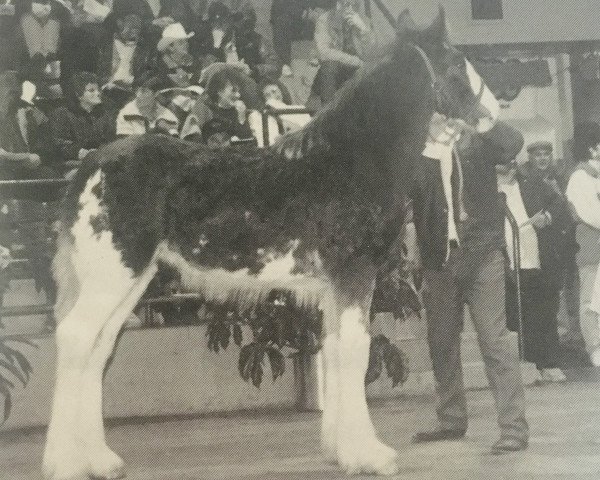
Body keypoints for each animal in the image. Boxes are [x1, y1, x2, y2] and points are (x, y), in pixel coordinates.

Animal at [44, 8, 500, 480]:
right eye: (454, 63)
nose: (490, 114)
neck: (350, 159)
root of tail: (92, 165)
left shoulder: (332, 286)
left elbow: (335, 350)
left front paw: (341, 450)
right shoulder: (355, 273)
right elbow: (356, 351)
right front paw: (371, 454)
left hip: (130, 280)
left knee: (98, 348)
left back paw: (100, 459)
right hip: (111, 277)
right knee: (76, 338)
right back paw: (64, 462)